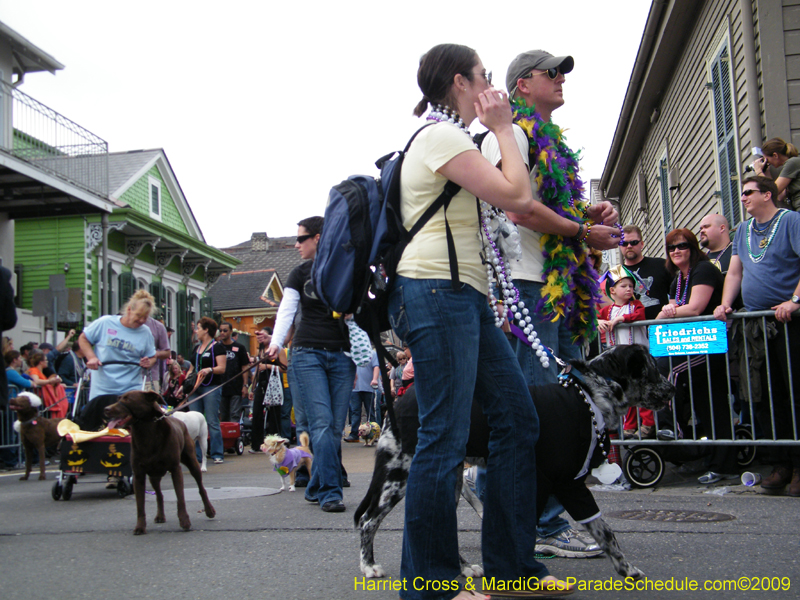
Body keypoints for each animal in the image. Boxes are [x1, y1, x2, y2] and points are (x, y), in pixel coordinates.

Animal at [106, 392, 219, 536]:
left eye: (128, 399)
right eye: (119, 398)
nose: (106, 409)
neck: (146, 432)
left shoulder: (175, 469)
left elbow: (180, 498)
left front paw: (185, 522)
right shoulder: (138, 475)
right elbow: (140, 505)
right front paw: (140, 527)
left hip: (196, 454)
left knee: (201, 486)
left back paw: (209, 510)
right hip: (154, 475)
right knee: (159, 495)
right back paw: (160, 516)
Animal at [356, 344, 676, 580]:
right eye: (651, 367)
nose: (672, 388)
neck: (589, 395)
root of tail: (399, 401)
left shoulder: (561, 485)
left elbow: (601, 531)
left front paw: (625, 569)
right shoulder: (564, 484)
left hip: (447, 478)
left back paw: (463, 567)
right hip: (398, 475)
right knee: (368, 520)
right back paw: (369, 566)